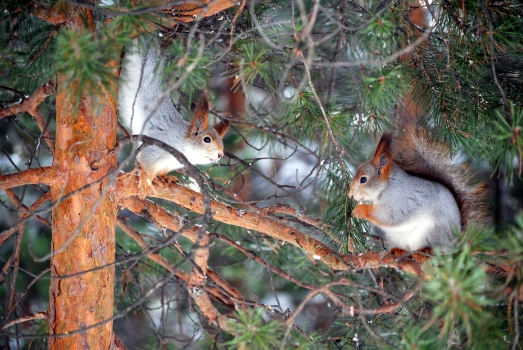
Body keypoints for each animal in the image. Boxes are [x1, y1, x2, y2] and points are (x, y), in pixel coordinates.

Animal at [118, 38, 229, 190]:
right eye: (207, 139)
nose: (220, 154)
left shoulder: (168, 164)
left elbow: (162, 172)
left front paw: (165, 178)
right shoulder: (155, 147)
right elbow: (145, 163)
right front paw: (146, 181)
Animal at [350, 127, 490, 253]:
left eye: (363, 179)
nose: (350, 195)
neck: (387, 187)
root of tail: (454, 246)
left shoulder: (402, 200)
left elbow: (390, 216)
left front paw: (361, 210)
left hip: (433, 232)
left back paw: (425, 251)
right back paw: (399, 251)